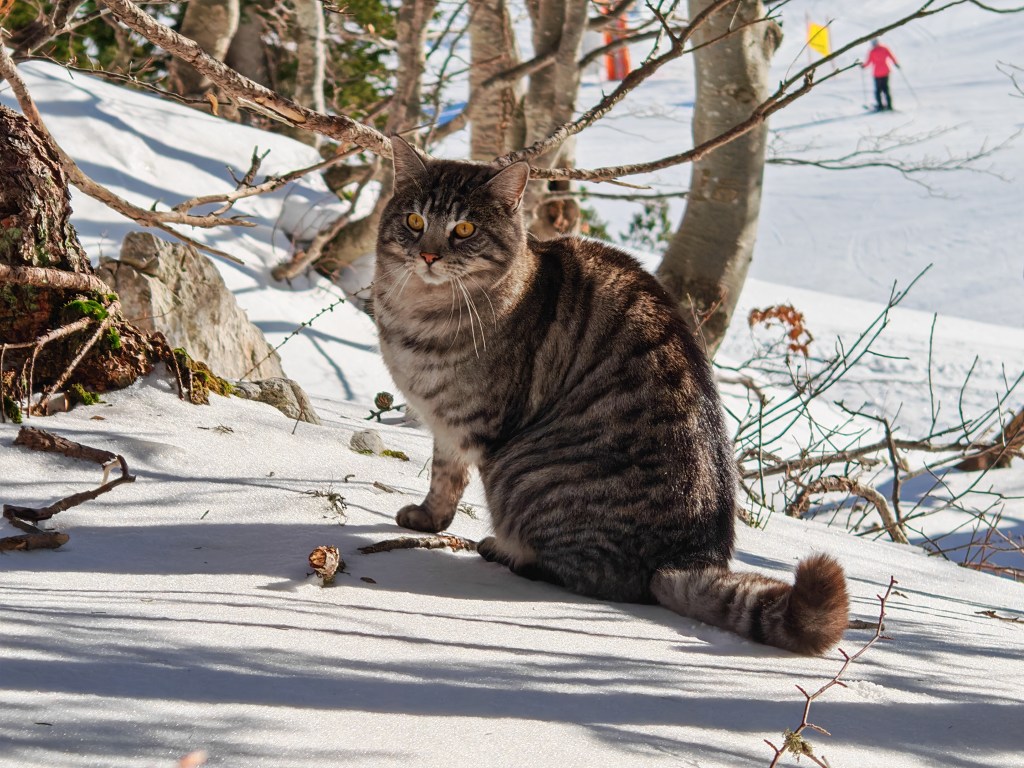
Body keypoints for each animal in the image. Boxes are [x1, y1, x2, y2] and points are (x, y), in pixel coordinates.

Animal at [374, 138, 847, 655]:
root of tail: (689, 556)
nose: (428, 255)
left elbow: (451, 478)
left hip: (524, 470)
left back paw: (507, 552)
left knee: (597, 578)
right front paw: (427, 519)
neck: (418, 313)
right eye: (414, 221)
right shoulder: (445, 426)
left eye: (464, 229)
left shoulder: (475, 423)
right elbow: (443, 479)